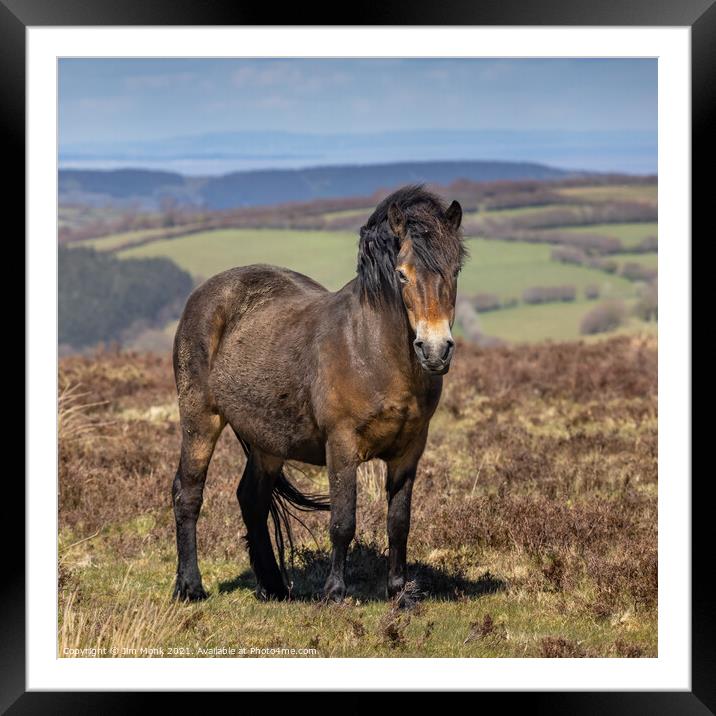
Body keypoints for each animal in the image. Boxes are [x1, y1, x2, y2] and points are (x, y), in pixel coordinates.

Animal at [171, 183, 468, 600]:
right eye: (402, 274)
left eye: (455, 270)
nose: (436, 350)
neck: (371, 351)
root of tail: (206, 294)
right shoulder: (341, 446)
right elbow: (343, 522)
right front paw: (334, 592)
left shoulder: (409, 450)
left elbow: (399, 522)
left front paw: (399, 592)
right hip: (200, 418)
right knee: (188, 493)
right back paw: (190, 587)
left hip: (267, 440)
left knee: (252, 500)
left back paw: (275, 587)